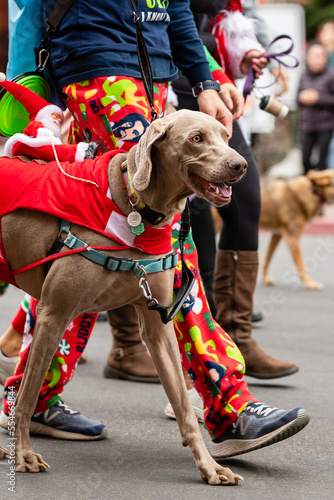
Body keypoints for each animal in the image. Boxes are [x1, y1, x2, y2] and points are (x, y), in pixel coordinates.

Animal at [0, 109, 248, 484]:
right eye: (196, 138)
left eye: (226, 135)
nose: (241, 165)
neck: (137, 209)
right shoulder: (53, 314)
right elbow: (27, 396)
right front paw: (24, 455)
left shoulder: (159, 327)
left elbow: (183, 404)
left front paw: (210, 466)